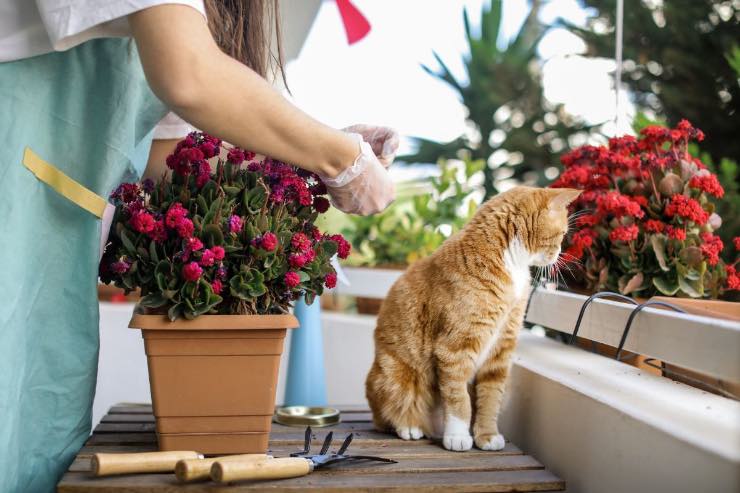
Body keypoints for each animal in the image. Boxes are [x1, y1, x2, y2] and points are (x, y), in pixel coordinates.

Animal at [368, 185, 580, 450]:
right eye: (562, 234)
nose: (560, 253)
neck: (509, 261)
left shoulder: (500, 351)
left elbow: (489, 400)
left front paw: (487, 435)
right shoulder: (456, 349)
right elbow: (459, 399)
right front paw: (458, 436)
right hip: (394, 376)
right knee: (390, 411)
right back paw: (410, 426)